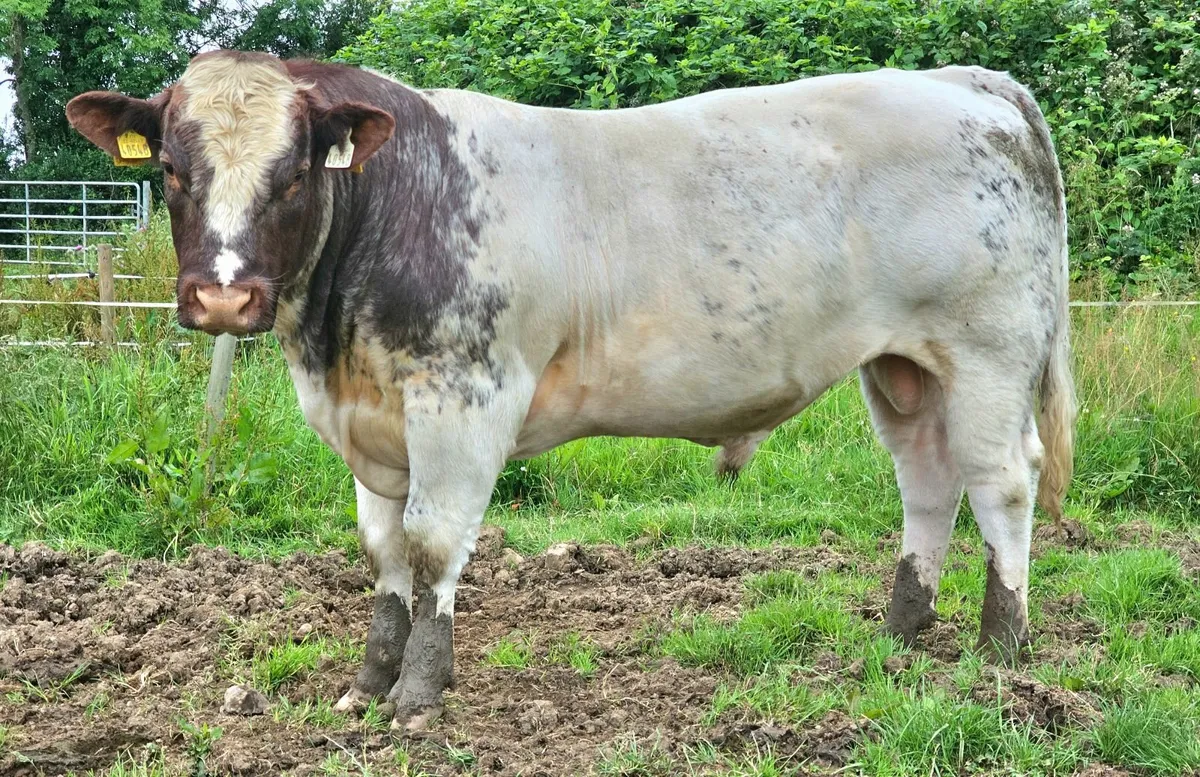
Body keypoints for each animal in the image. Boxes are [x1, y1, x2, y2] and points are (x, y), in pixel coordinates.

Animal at [67, 50, 1075, 732]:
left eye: (293, 173)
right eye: (170, 170)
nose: (223, 296)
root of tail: (964, 81)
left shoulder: (466, 398)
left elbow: (433, 547)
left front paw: (419, 695)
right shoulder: (372, 421)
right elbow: (383, 552)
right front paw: (367, 682)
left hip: (988, 351)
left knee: (1002, 483)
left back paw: (1001, 648)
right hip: (902, 366)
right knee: (927, 483)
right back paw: (901, 632)